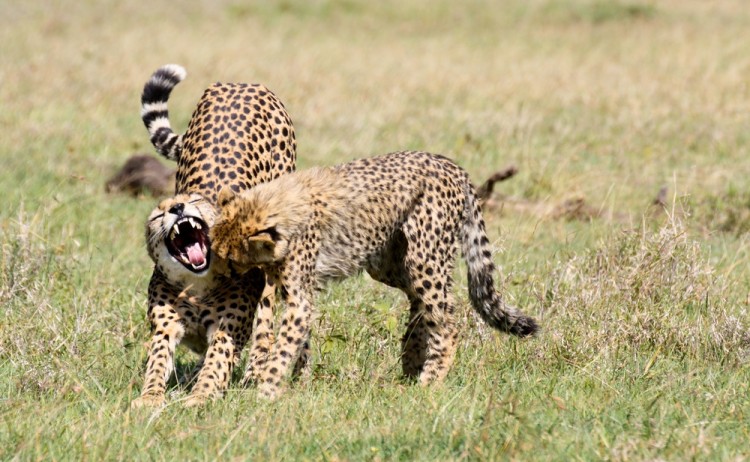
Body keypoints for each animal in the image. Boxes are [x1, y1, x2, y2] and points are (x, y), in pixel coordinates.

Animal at [131, 64, 297, 408]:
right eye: (158, 215)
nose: (177, 207)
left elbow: (217, 361)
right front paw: (150, 397)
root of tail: (240, 83)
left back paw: (255, 370)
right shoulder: (165, 327)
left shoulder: (226, 328)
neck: (197, 284)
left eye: (195, 202)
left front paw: (201, 395)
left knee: (266, 316)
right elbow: (158, 360)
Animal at [209, 150, 539, 401]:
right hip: (387, 263)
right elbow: (300, 342)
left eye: (231, 260)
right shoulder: (299, 293)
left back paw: (428, 380)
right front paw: (299, 382)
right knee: (425, 305)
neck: (275, 207)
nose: (221, 278)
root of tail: (451, 164)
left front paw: (265, 392)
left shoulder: (299, 297)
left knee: (446, 323)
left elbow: (283, 346)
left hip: (424, 258)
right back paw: (410, 360)